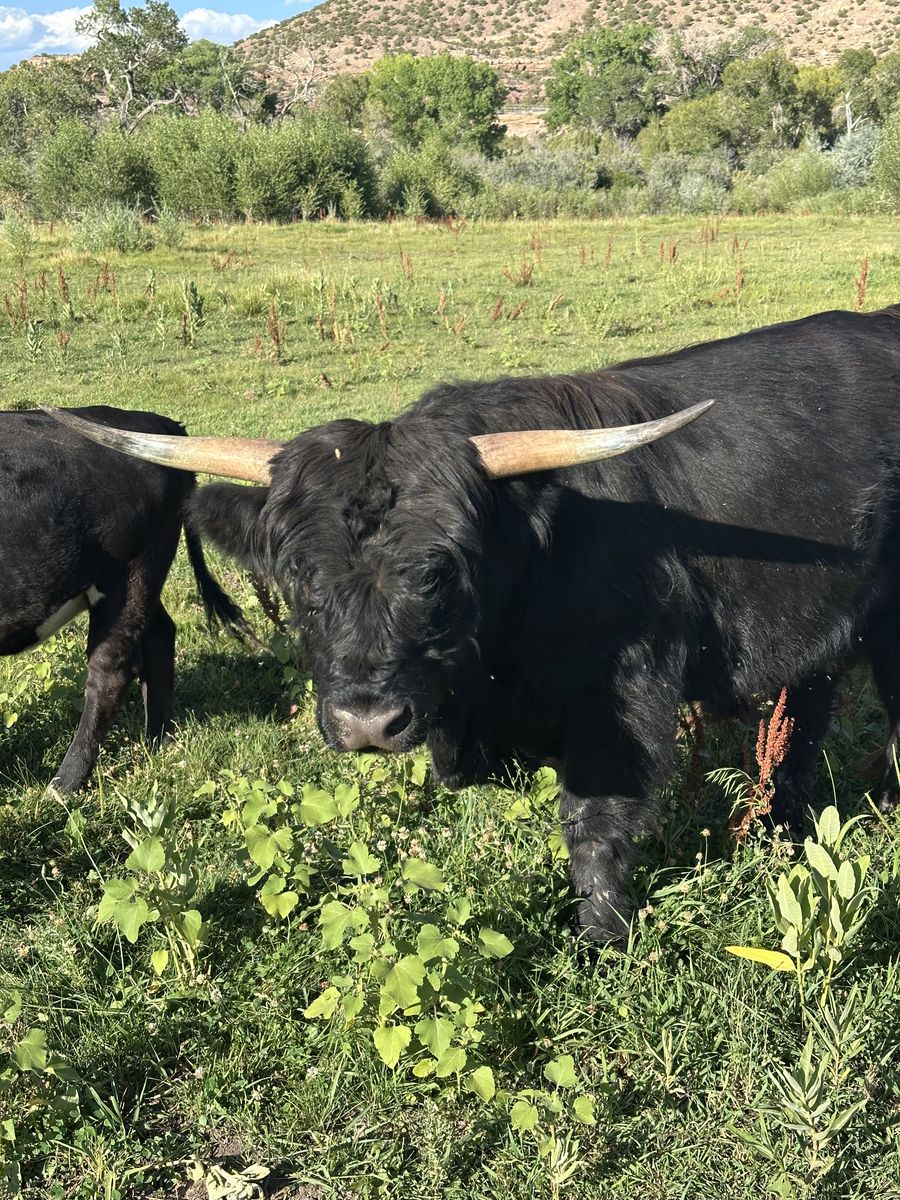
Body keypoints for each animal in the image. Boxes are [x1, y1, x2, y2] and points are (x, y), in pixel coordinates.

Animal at [1, 406, 248, 793]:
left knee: (109, 670)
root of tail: (160, 424)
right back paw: (157, 740)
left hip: (132, 571)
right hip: (142, 577)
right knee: (160, 634)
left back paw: (65, 783)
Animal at [47, 305, 900, 942]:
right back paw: (787, 827)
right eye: (301, 578)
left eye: (437, 570)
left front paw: (603, 939)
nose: (367, 723)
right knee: (806, 718)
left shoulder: (624, 692)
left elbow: (594, 822)